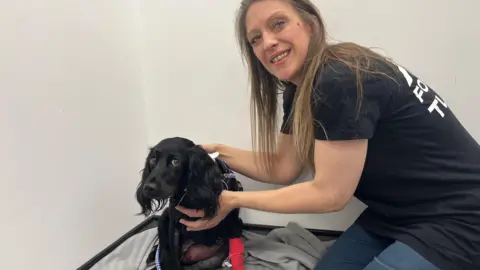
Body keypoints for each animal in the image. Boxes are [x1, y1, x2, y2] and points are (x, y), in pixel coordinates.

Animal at [135, 138, 244, 268]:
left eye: (175, 161)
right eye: (153, 160)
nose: (147, 188)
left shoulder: (234, 223)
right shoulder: (174, 229)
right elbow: (172, 259)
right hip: (163, 218)